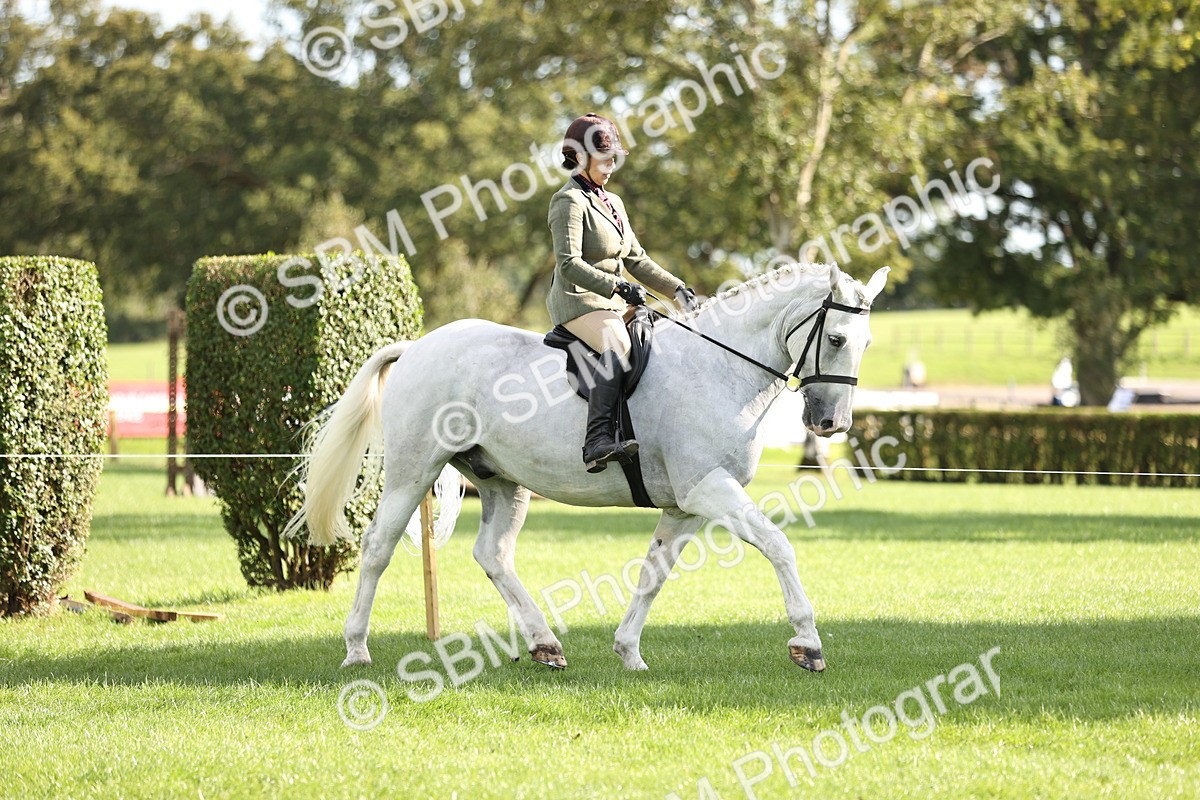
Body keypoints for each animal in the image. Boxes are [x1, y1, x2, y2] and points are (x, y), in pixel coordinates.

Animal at [283, 262, 889, 672]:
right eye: (837, 337)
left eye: (867, 343)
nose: (831, 422)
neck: (719, 366)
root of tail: (416, 346)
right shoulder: (708, 490)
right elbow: (778, 545)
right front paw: (807, 644)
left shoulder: (686, 504)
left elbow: (653, 573)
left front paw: (628, 651)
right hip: (414, 471)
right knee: (378, 549)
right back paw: (356, 649)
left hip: (503, 481)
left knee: (493, 555)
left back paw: (545, 644)